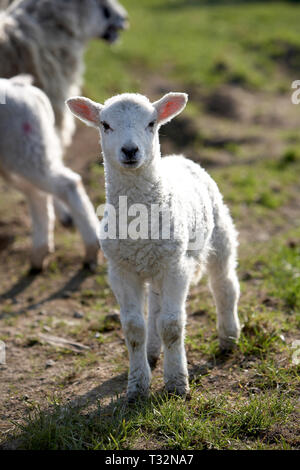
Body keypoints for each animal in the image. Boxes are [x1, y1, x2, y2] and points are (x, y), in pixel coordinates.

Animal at [0, 77, 99, 272]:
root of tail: (23, 87)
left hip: (25, 146)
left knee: (67, 184)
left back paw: (91, 249)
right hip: (19, 155)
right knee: (37, 194)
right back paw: (39, 255)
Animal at [67, 91, 240, 400]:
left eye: (151, 123)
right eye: (105, 125)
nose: (130, 150)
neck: (139, 220)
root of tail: (179, 157)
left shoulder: (176, 266)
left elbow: (172, 325)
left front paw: (176, 384)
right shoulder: (121, 270)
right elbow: (134, 328)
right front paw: (137, 386)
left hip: (219, 231)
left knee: (224, 285)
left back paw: (228, 338)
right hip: (154, 261)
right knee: (156, 307)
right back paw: (151, 352)